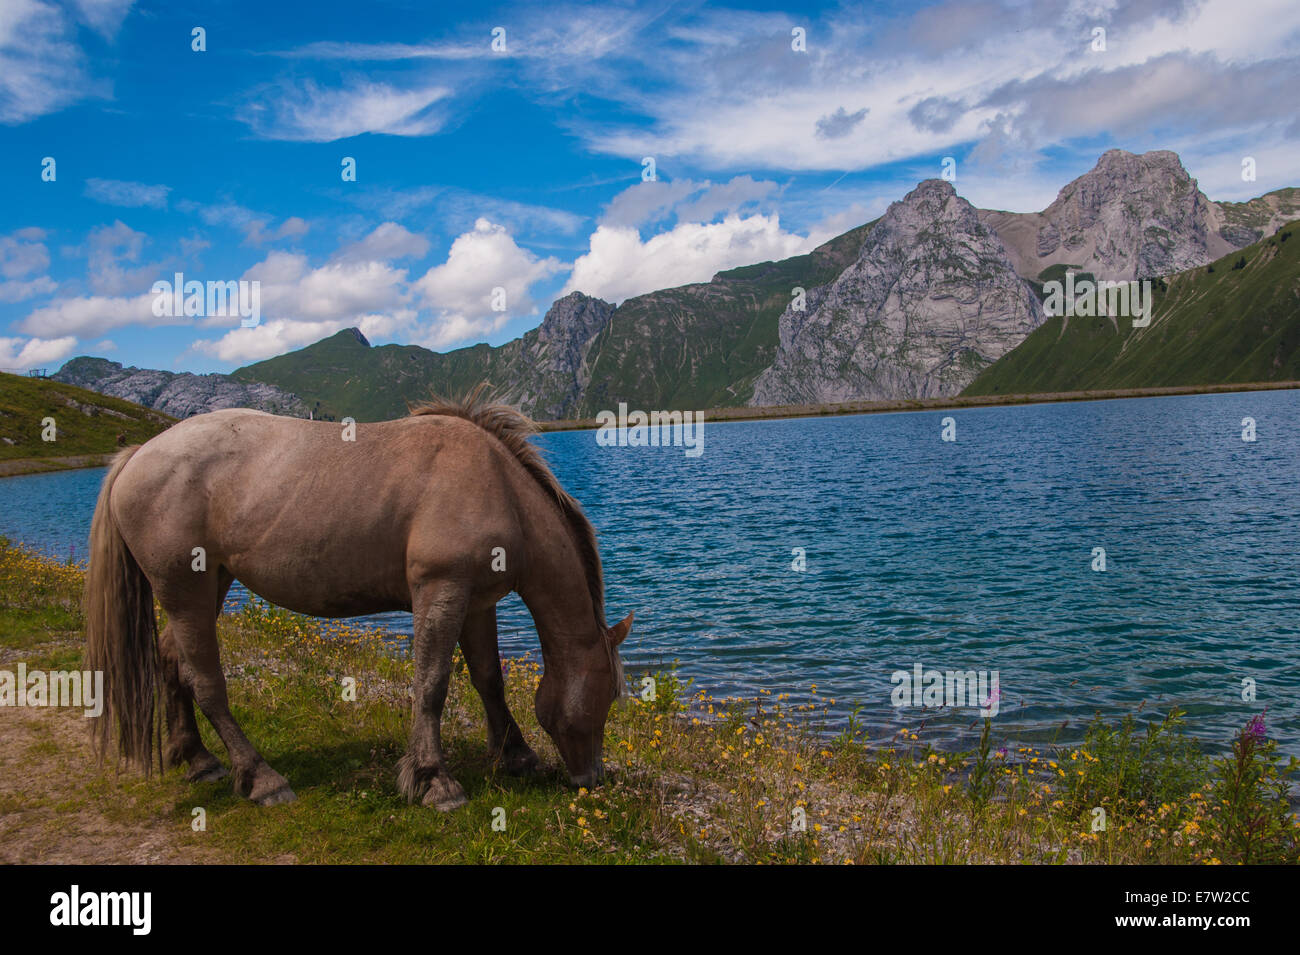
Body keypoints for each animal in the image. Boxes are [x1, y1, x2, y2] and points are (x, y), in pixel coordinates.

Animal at [83, 384, 631, 810]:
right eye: (608, 696)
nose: (591, 779)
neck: (498, 486)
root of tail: (136, 455)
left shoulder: (477, 601)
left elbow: (488, 680)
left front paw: (514, 756)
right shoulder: (441, 591)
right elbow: (432, 685)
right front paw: (434, 780)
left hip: (206, 585)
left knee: (171, 661)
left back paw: (199, 760)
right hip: (185, 590)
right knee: (206, 683)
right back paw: (261, 779)